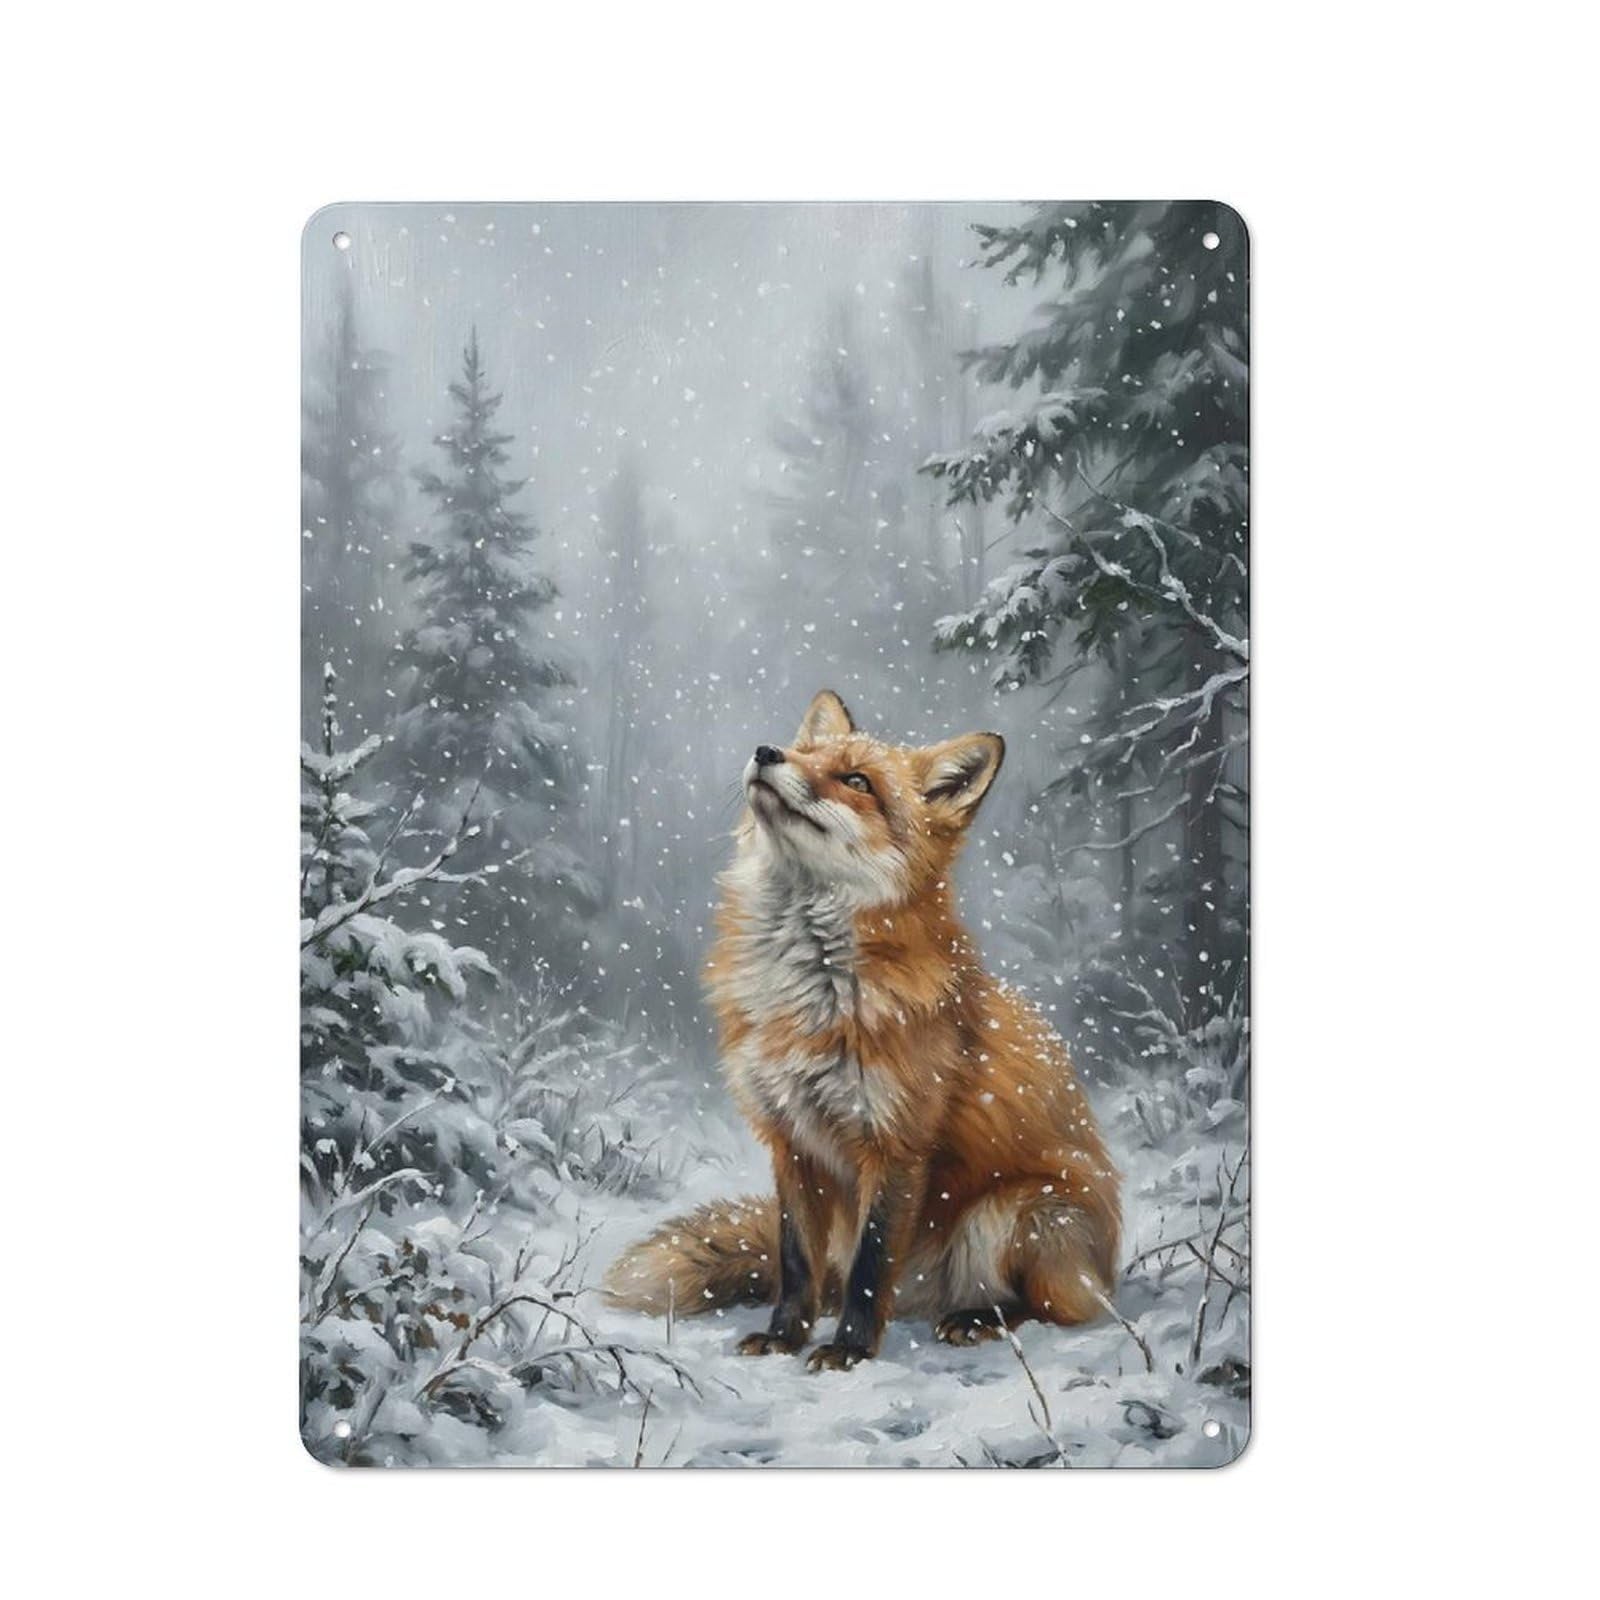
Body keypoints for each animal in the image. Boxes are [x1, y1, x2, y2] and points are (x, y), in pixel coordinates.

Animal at [605, 689, 1120, 1371]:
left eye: (856, 782)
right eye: (803, 752)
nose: (767, 751)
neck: (810, 998)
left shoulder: (895, 1142)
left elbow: (871, 1268)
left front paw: (848, 1348)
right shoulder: (791, 1140)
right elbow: (795, 1260)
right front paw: (785, 1336)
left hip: (1016, 1213)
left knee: (1053, 1308)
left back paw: (975, 1318)